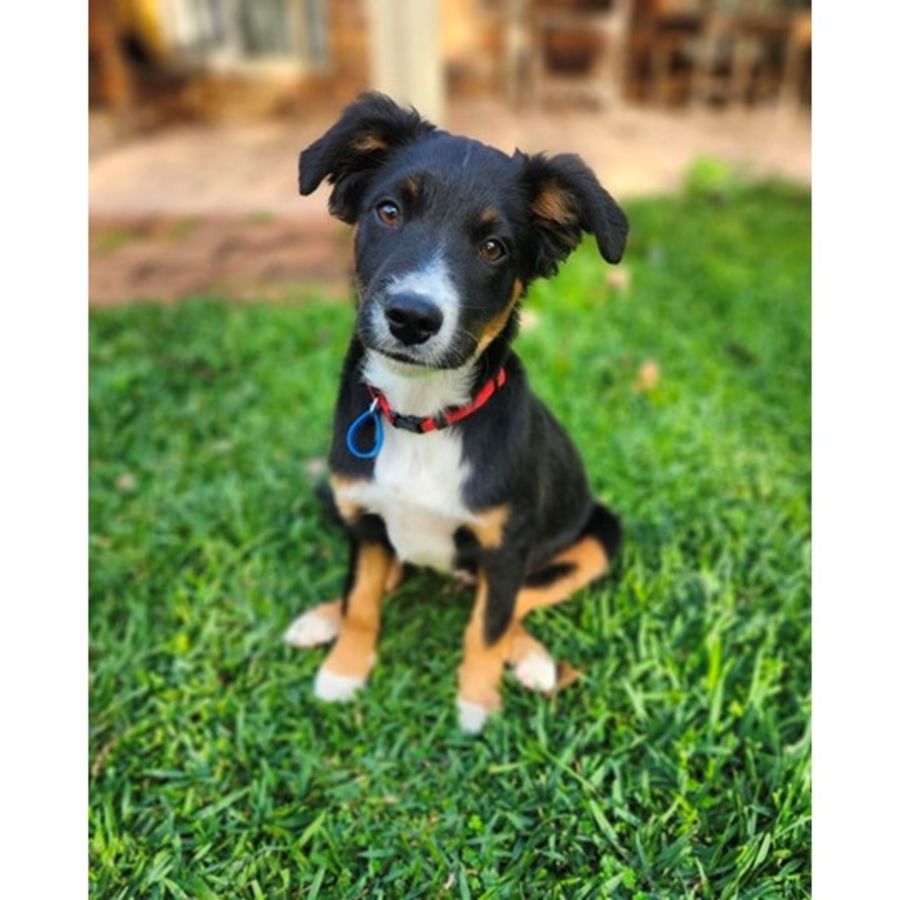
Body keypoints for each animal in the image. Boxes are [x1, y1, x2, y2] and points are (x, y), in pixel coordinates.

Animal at [285, 93, 627, 733]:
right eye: (388, 211)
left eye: (495, 247)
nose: (412, 317)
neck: (422, 414)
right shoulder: (364, 518)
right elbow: (361, 597)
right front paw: (344, 670)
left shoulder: (508, 545)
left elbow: (488, 625)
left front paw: (476, 705)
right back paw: (320, 619)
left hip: (598, 535)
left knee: (516, 603)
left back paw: (533, 660)